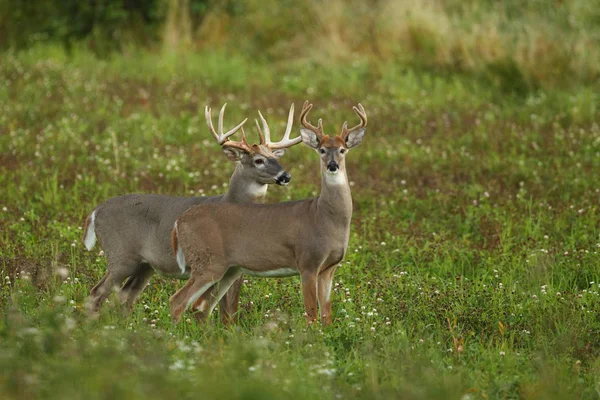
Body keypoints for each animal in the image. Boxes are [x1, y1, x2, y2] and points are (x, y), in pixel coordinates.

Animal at [82, 104, 302, 318]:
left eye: (274, 157)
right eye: (258, 160)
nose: (286, 176)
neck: (229, 200)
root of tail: (95, 212)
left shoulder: (237, 268)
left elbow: (228, 308)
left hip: (145, 265)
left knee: (125, 296)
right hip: (121, 255)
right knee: (97, 292)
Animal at [169, 101, 366, 324]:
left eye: (342, 150)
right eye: (322, 150)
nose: (333, 165)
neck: (324, 217)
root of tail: (179, 221)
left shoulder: (329, 268)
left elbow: (326, 314)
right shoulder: (307, 261)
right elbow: (311, 314)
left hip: (227, 268)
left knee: (200, 306)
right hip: (207, 261)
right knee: (178, 301)